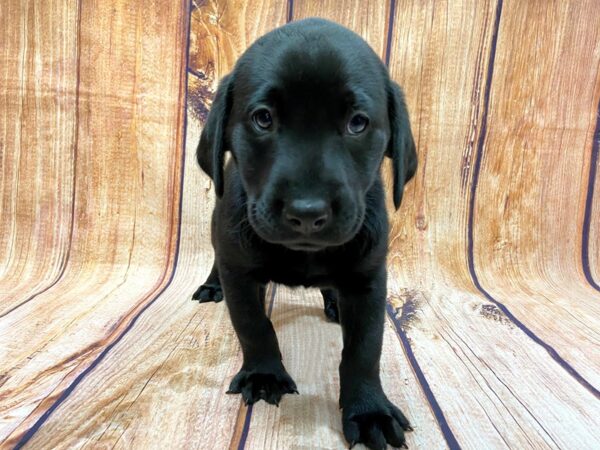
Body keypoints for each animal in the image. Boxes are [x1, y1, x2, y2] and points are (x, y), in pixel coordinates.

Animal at [192, 17, 418, 450]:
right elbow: (254, 326)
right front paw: (264, 373)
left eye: (357, 123)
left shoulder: (369, 280)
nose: (307, 212)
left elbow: (365, 349)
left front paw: (369, 409)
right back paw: (212, 286)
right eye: (263, 119)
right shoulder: (238, 271)